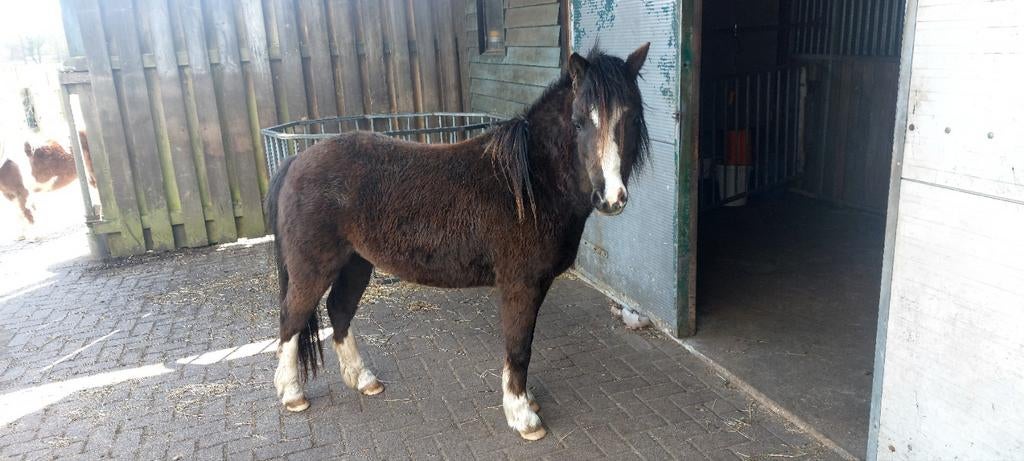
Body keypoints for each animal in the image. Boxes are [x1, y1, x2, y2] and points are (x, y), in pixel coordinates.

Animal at [265, 44, 651, 441]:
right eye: (578, 122)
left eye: (632, 117)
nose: (610, 198)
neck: (529, 185)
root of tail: (297, 160)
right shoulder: (520, 284)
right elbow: (519, 347)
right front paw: (522, 416)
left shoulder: (537, 284)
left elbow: (524, 341)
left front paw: (526, 400)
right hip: (313, 268)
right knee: (292, 319)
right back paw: (292, 394)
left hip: (356, 262)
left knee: (339, 310)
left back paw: (363, 380)